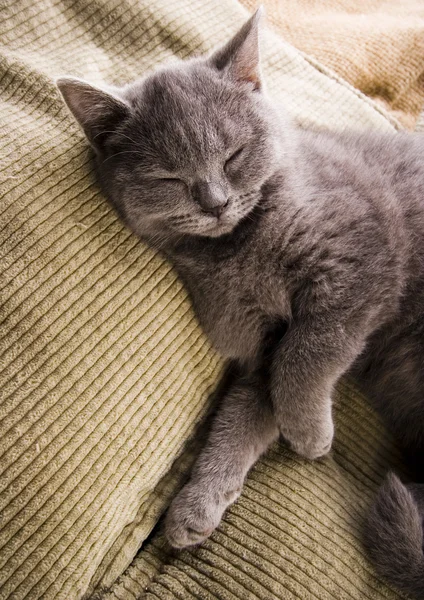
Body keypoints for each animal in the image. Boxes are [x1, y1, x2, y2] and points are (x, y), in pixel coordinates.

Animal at [58, 10, 424, 600]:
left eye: (232, 155)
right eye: (167, 177)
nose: (215, 202)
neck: (239, 251)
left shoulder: (361, 258)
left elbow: (307, 352)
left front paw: (308, 433)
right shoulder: (258, 350)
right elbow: (240, 418)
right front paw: (196, 507)